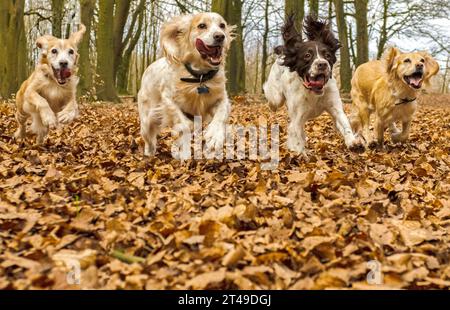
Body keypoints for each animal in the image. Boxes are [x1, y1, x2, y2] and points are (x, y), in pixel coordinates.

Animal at [138, 13, 234, 159]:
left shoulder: (221, 98)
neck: (199, 77)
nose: (220, 36)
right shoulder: (168, 99)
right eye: (202, 25)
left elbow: (221, 113)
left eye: (222, 25)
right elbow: (183, 122)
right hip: (146, 122)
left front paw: (215, 136)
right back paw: (150, 154)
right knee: (149, 141)